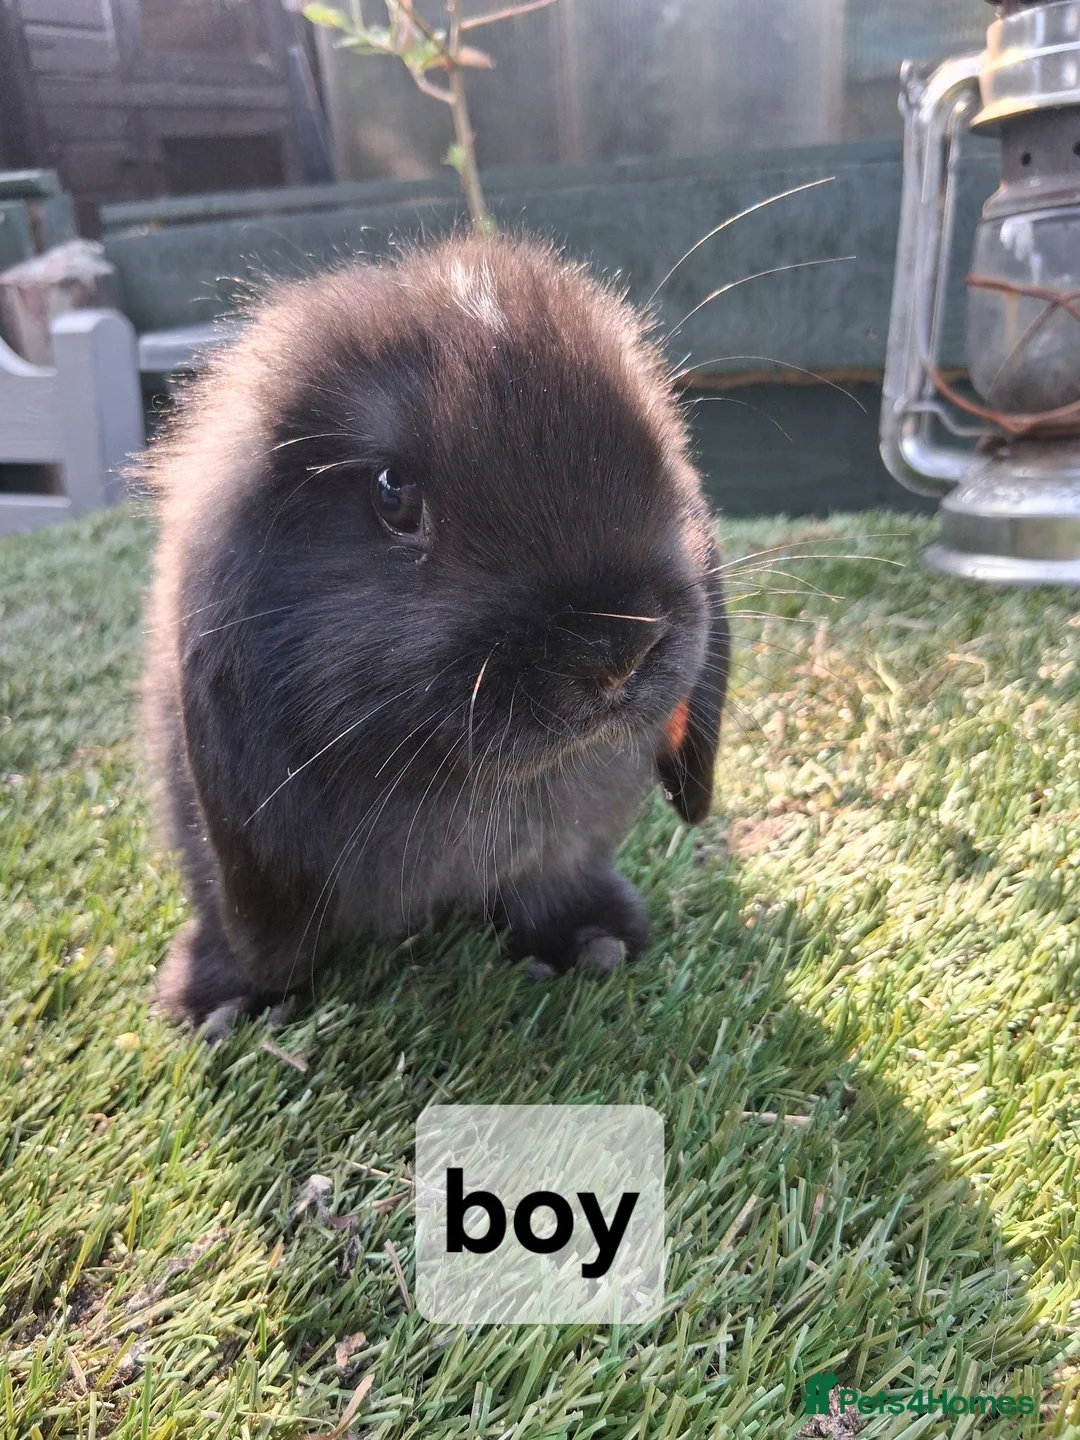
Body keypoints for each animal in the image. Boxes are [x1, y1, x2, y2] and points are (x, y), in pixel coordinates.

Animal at [142, 233, 730, 1034]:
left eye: (654, 445)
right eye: (393, 495)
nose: (616, 652)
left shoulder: (565, 844)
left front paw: (594, 942)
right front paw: (224, 1002)